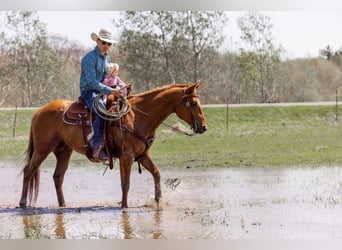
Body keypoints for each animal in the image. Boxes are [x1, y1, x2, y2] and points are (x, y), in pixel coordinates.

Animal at [18, 83, 207, 208]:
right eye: (194, 103)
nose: (203, 127)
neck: (137, 116)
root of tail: (39, 111)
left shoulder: (142, 155)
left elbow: (156, 173)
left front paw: (157, 201)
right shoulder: (126, 156)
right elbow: (126, 183)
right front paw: (124, 207)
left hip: (64, 151)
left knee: (57, 177)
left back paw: (63, 205)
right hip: (42, 150)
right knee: (28, 171)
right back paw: (23, 203)